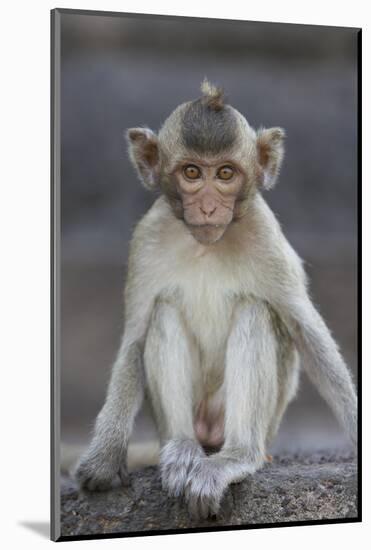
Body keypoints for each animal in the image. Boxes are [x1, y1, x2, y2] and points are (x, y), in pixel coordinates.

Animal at [75, 78, 358, 520]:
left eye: (225, 173)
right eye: (192, 172)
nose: (208, 206)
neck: (205, 245)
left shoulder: (265, 233)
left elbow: (307, 331)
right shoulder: (147, 239)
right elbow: (135, 338)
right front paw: (104, 458)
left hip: (260, 424)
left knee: (255, 311)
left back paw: (235, 457)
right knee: (163, 313)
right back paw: (182, 452)